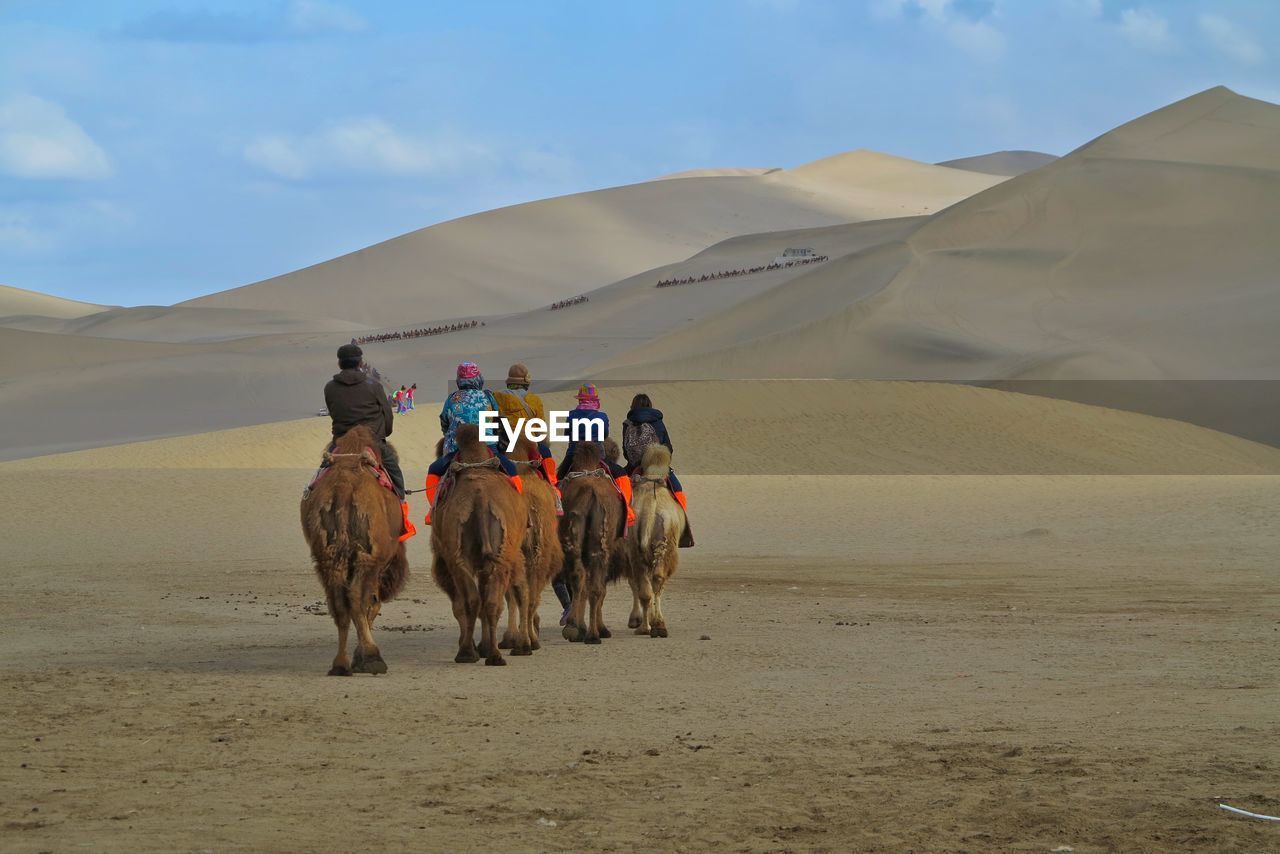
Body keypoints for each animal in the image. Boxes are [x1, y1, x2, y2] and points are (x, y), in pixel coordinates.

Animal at [299, 425, 404, 676]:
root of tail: (345, 487)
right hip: (367, 556)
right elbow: (372, 603)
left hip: (327, 556)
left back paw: (340, 664)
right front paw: (362, 657)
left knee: (338, 601)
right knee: (357, 597)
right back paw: (373, 658)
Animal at [432, 425, 527, 665]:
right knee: (489, 601)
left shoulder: (444, 558)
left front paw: (477, 647)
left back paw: (468, 653)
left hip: (459, 556)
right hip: (499, 555)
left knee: (473, 601)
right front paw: (482, 647)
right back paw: (493, 654)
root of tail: (481, 499)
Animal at [496, 437, 563, 660]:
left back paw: (521, 642)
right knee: (528, 594)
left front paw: (510, 638)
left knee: (520, 593)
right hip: (537, 553)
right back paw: (527, 642)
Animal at [558, 437, 622, 645]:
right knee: (593, 585)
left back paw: (577, 629)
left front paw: (582, 627)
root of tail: (590, 493)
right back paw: (591, 634)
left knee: (580, 578)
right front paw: (599, 629)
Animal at [622, 440, 686, 635]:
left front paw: (636, 620)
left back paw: (646, 627)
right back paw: (656, 624)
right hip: (664, 544)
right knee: (657, 579)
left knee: (644, 585)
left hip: (636, 545)